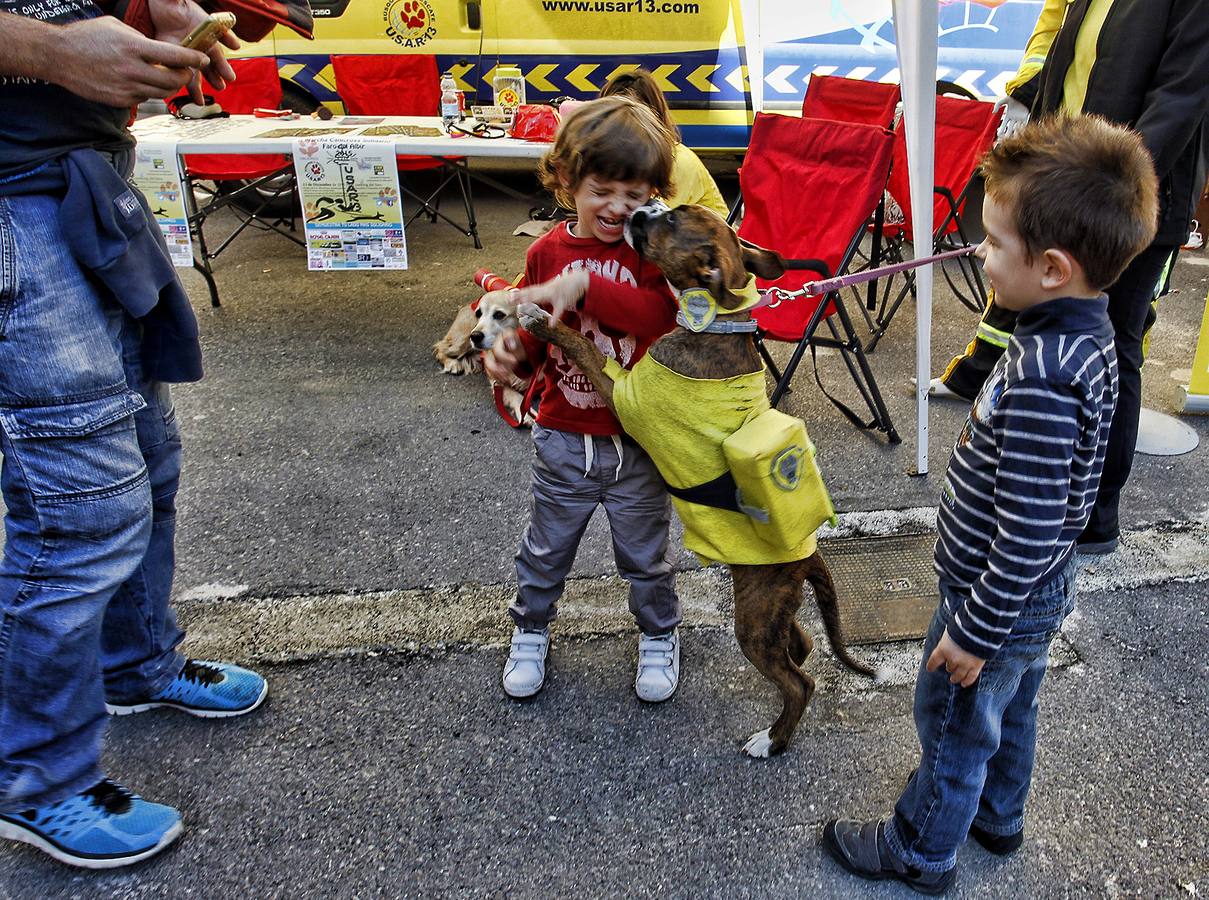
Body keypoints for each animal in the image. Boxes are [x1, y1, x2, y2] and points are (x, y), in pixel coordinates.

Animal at [432, 291, 531, 425]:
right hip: (461, 342)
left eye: (499, 314)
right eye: (478, 313)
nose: (475, 336)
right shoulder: (497, 382)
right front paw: (527, 415)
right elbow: (517, 397)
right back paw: (452, 364)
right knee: (440, 348)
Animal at [515, 200, 875, 754]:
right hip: (774, 611)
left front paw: (540, 318)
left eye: (671, 220)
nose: (642, 208)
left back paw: (771, 741)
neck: (715, 324)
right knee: (803, 642)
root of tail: (808, 554)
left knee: (799, 681)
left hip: (754, 617)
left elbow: (586, 348)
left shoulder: (622, 395)